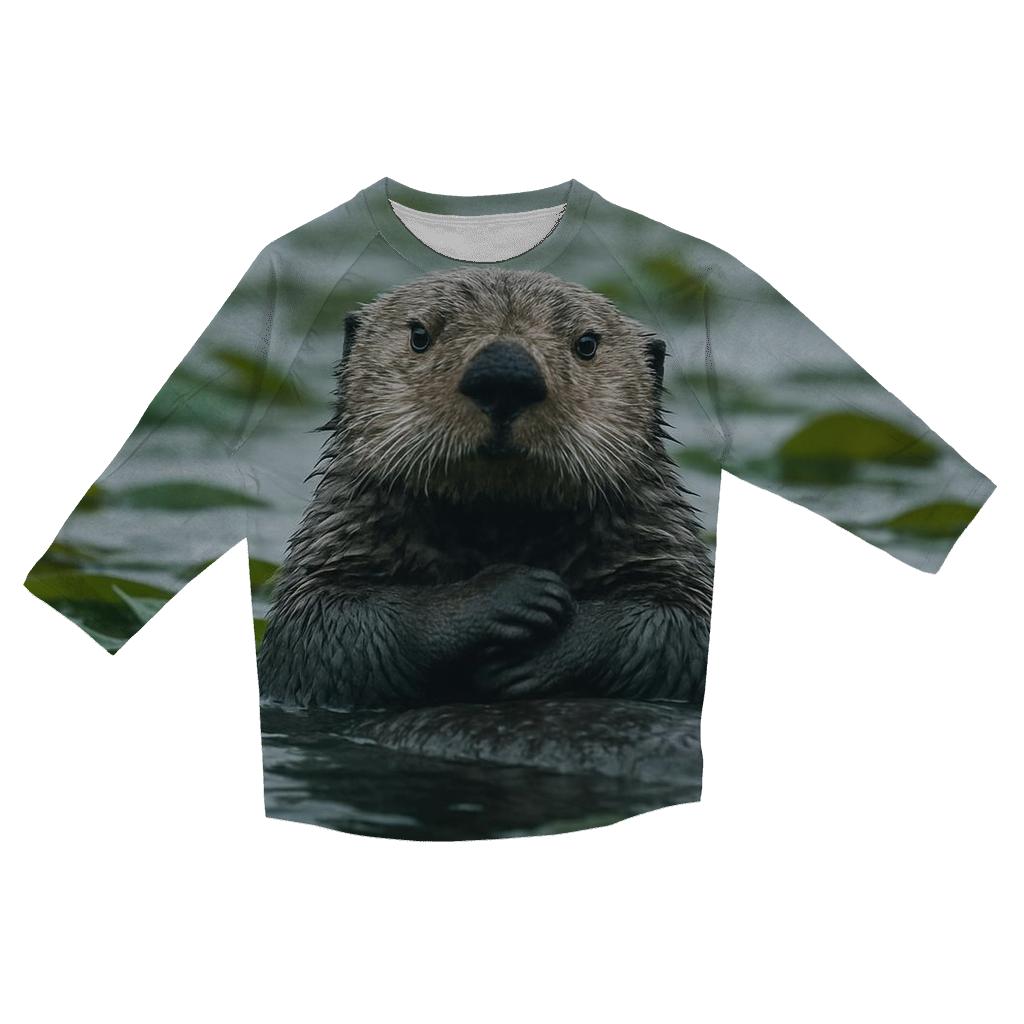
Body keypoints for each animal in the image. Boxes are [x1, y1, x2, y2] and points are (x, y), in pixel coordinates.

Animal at [258, 268, 714, 709]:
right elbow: (327, 635)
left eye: (587, 344)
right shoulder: (342, 545)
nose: (505, 372)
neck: (500, 526)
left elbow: (677, 629)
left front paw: (545, 652)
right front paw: (509, 592)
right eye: (419, 335)